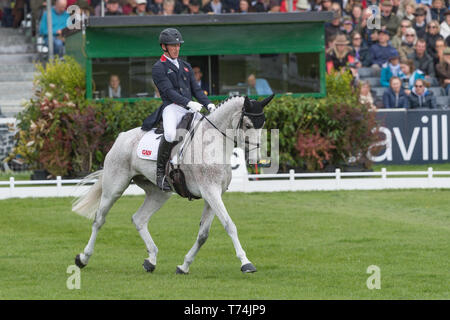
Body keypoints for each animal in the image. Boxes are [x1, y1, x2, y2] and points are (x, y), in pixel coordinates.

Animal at [72, 94, 274, 274]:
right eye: (247, 125)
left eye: (262, 125)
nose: (257, 160)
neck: (213, 142)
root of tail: (121, 136)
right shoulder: (210, 191)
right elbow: (229, 225)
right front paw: (246, 263)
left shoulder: (214, 194)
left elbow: (203, 234)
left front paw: (184, 266)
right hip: (115, 187)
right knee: (99, 219)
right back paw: (83, 258)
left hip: (159, 193)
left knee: (139, 219)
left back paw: (151, 260)